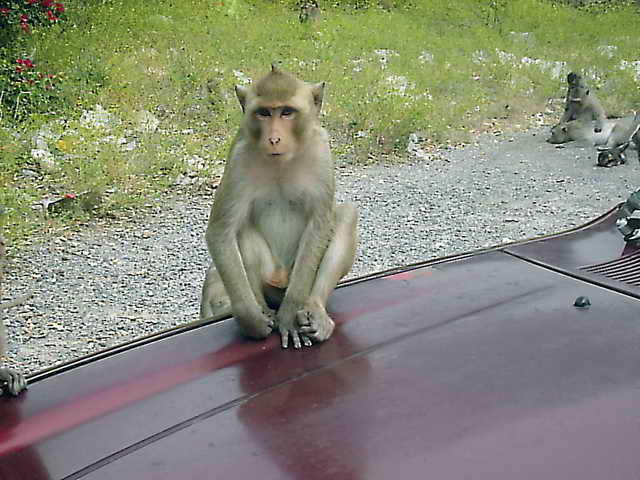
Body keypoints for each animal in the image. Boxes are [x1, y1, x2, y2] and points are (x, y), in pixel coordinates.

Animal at [200, 65, 358, 349]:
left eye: (286, 112)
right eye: (263, 112)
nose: (274, 138)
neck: (281, 163)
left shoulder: (322, 152)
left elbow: (320, 223)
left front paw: (289, 315)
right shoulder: (238, 157)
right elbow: (221, 230)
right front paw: (252, 319)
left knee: (346, 216)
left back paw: (314, 311)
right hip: (269, 280)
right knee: (241, 230)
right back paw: (262, 308)